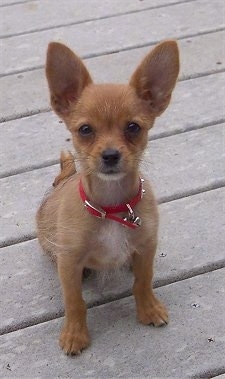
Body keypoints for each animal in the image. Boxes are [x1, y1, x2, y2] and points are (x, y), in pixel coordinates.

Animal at [36, 42, 179, 356]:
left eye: (133, 127)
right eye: (85, 130)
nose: (110, 155)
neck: (111, 206)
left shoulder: (147, 245)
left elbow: (143, 281)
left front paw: (148, 309)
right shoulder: (69, 261)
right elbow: (74, 301)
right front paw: (75, 334)